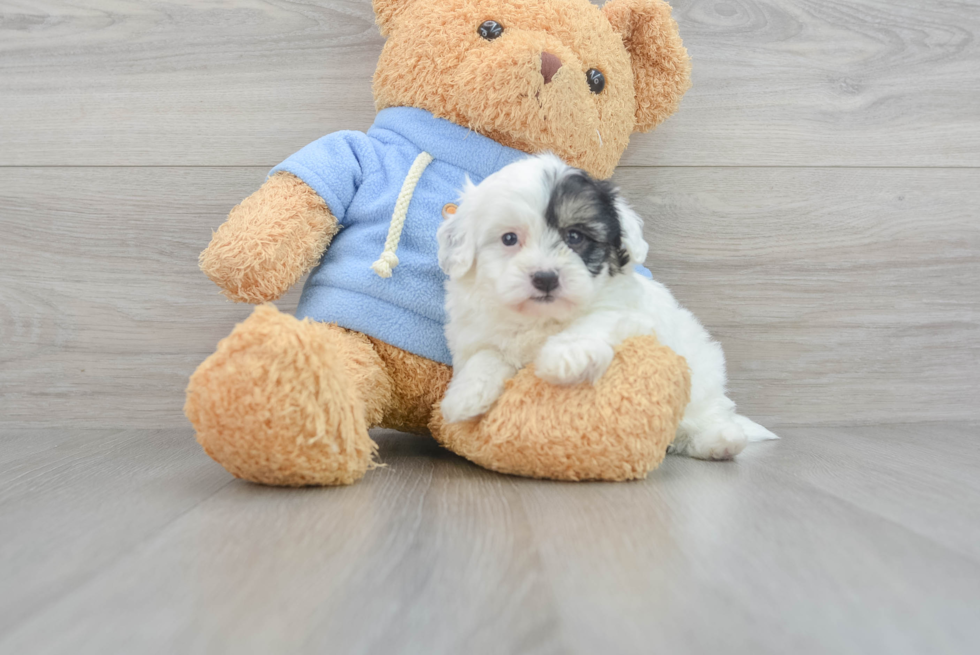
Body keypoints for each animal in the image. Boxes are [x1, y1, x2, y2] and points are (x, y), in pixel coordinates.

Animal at [436, 154, 772, 462]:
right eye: (509, 238)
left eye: (574, 236)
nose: (545, 278)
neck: (543, 319)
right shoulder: (477, 332)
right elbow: (487, 354)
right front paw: (464, 395)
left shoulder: (629, 313)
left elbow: (595, 320)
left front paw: (566, 355)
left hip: (702, 377)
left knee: (700, 419)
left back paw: (721, 440)